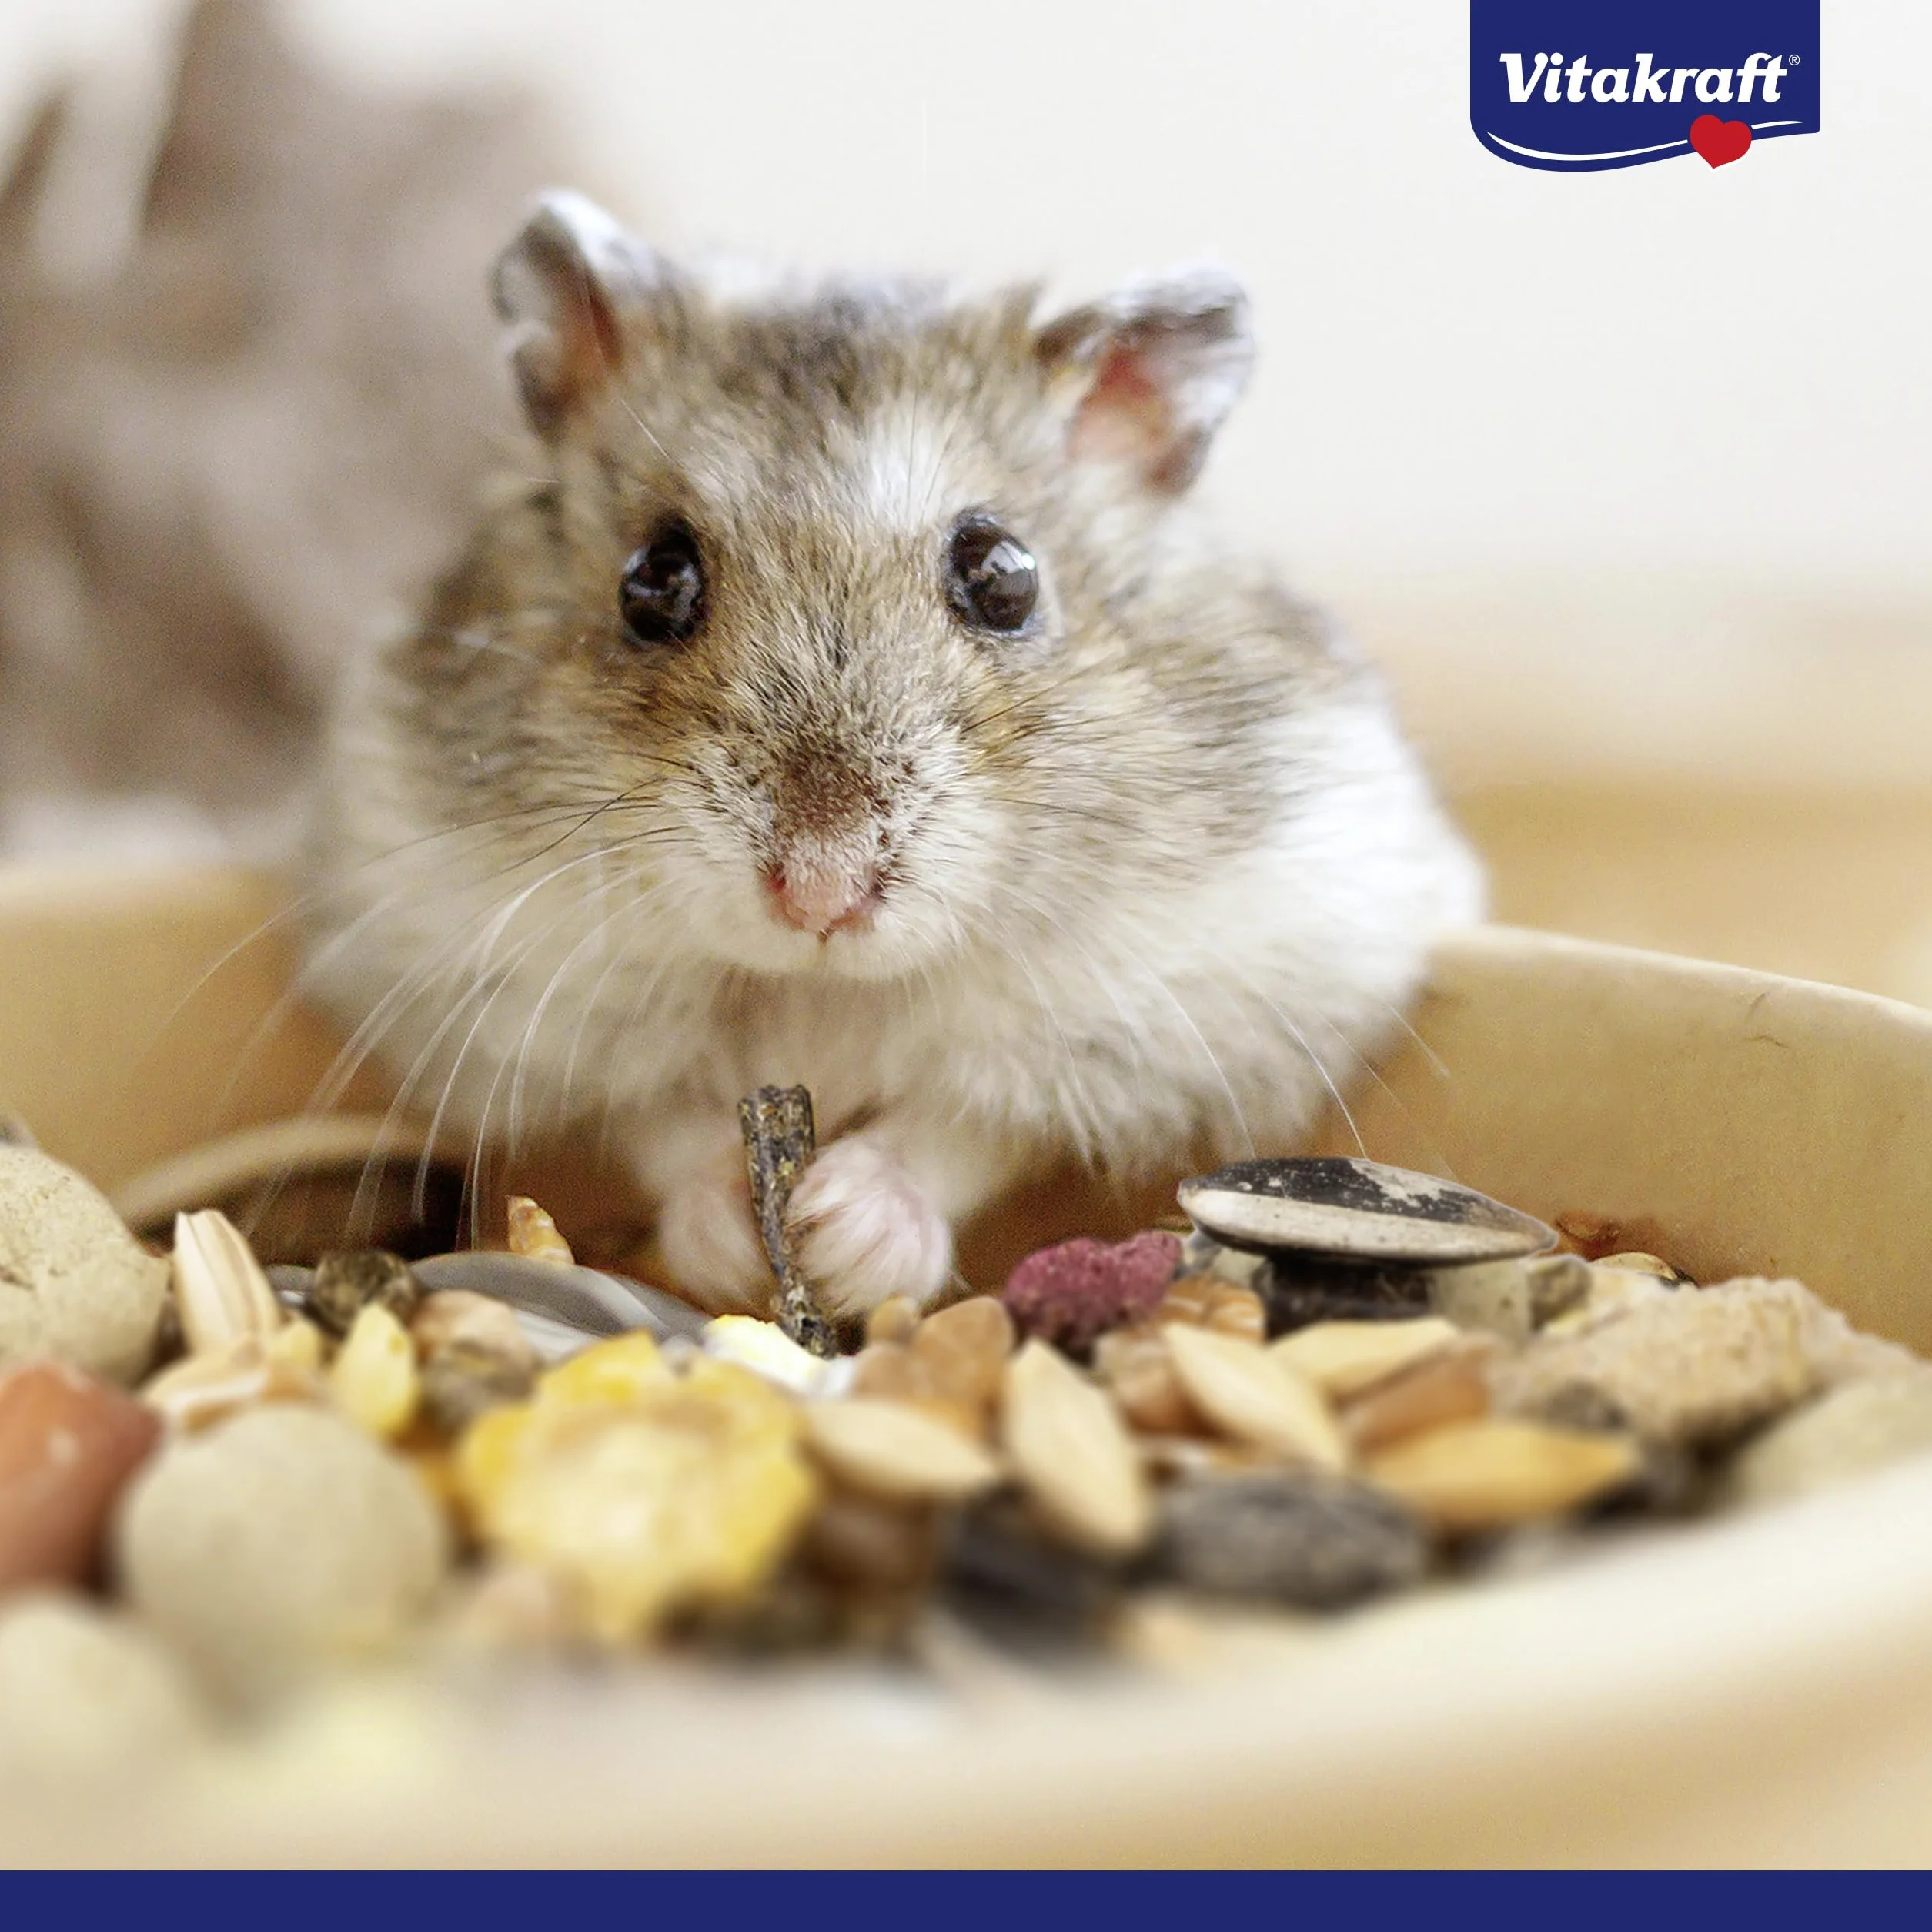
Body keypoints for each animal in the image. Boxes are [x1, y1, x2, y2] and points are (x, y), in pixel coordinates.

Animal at [301, 190, 1485, 1319]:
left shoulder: (1176, 997)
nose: (818, 894)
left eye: (1004, 576)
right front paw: (740, 1237)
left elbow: (963, 1126)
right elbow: (666, 1118)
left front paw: (837, 1233)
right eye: (651, 580)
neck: (825, 991)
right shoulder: (498, 980)